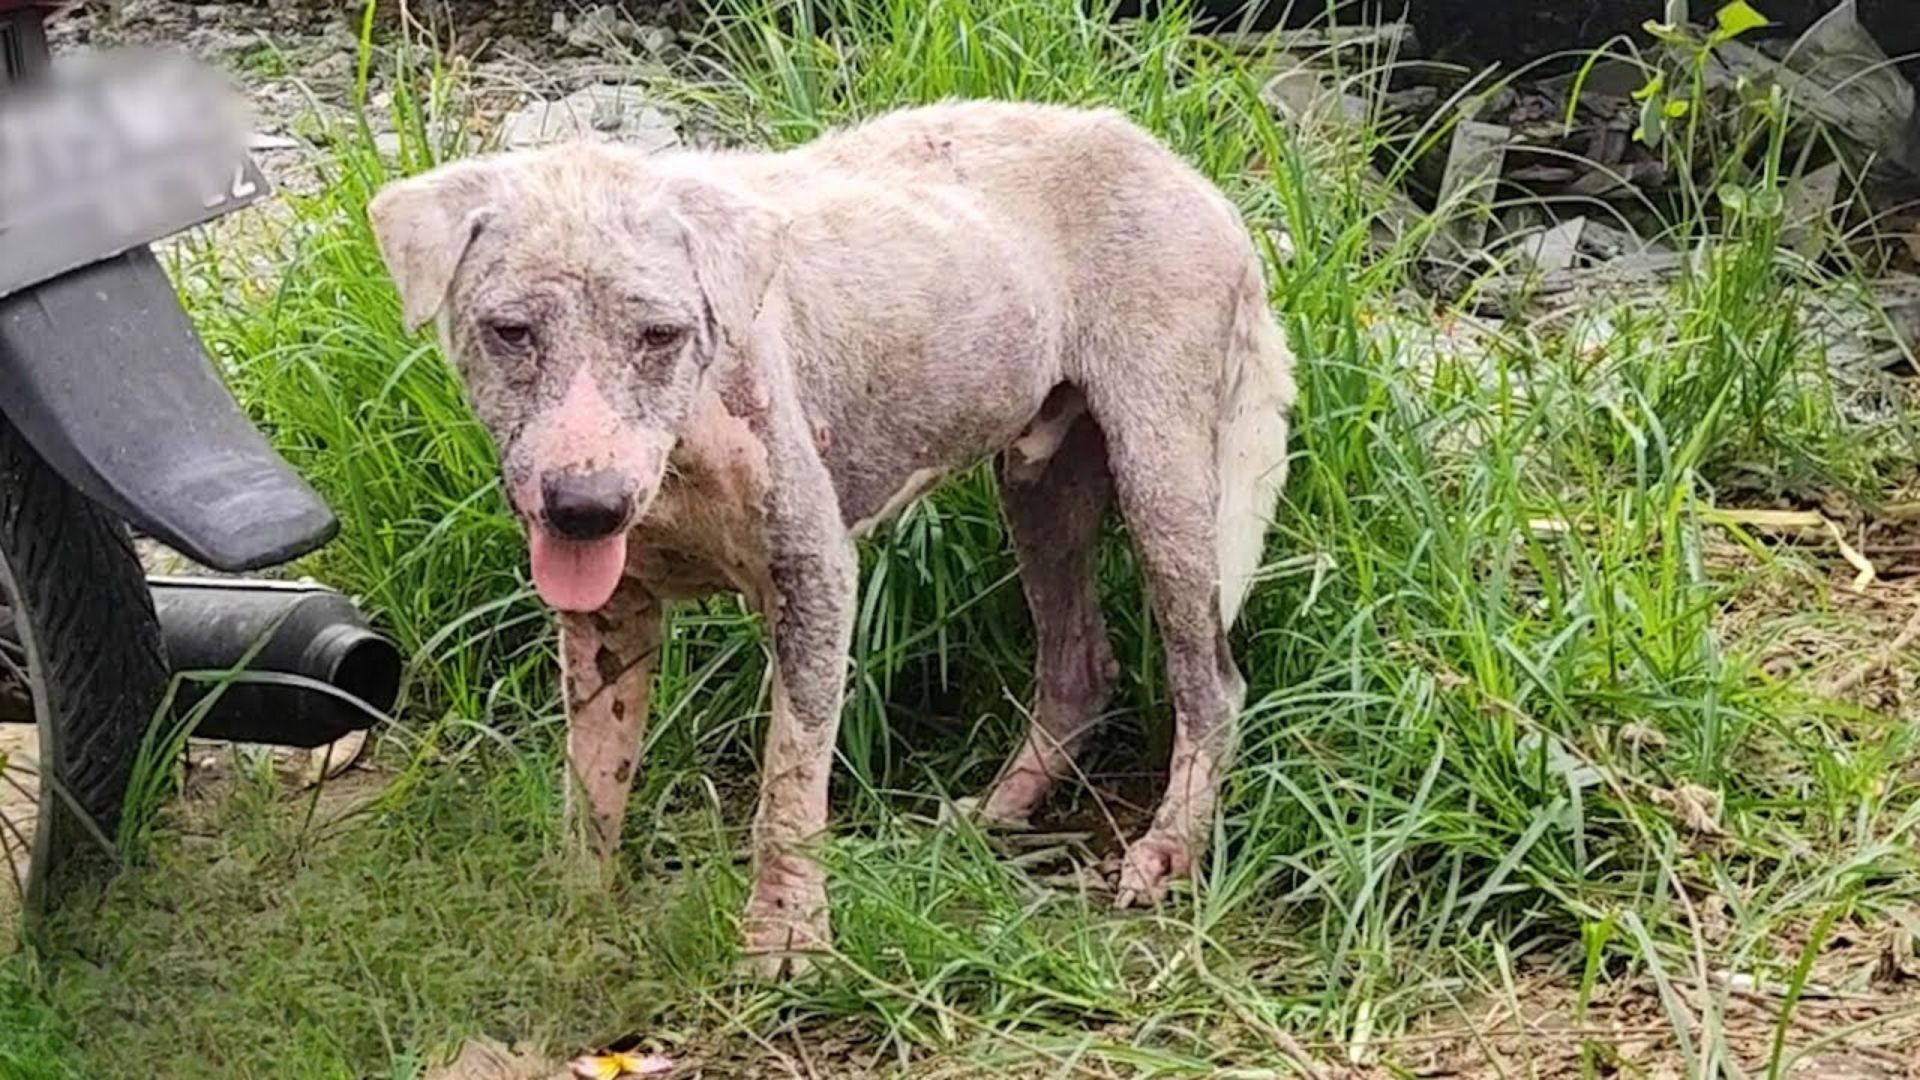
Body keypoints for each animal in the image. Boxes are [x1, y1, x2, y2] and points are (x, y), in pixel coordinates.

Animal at [362, 100, 1290, 972]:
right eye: (510, 331)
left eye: (660, 335)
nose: (585, 506)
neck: (687, 443)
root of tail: (1191, 178)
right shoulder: (607, 614)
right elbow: (592, 782)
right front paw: (577, 918)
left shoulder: (813, 579)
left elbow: (791, 780)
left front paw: (786, 936)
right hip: (1042, 481)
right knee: (1079, 667)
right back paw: (999, 809)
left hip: (1164, 473)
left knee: (1210, 682)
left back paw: (1168, 846)